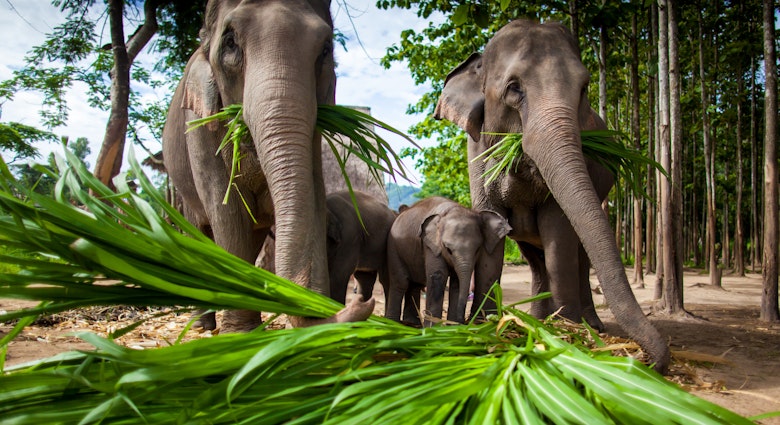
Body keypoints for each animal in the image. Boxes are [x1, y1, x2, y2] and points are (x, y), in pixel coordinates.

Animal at [162, 0, 373, 332]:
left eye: (326, 49)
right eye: (230, 42)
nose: (361, 302)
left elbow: (313, 194)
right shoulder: (198, 125)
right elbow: (227, 211)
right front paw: (239, 332)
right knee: (199, 230)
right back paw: (202, 325)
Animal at [385, 197, 511, 325]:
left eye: (477, 249)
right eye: (448, 249)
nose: (463, 321)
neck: (452, 209)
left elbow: (456, 283)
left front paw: (452, 326)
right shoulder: (431, 246)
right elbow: (438, 276)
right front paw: (433, 327)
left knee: (415, 284)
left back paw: (412, 323)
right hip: (393, 247)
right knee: (401, 282)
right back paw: (392, 323)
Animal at [434, 20, 669, 372]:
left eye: (584, 88)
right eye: (514, 87)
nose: (648, 361)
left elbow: (559, 231)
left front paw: (567, 331)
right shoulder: (475, 153)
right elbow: (491, 227)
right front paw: (485, 325)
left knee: (579, 256)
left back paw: (587, 324)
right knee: (534, 258)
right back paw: (535, 318)